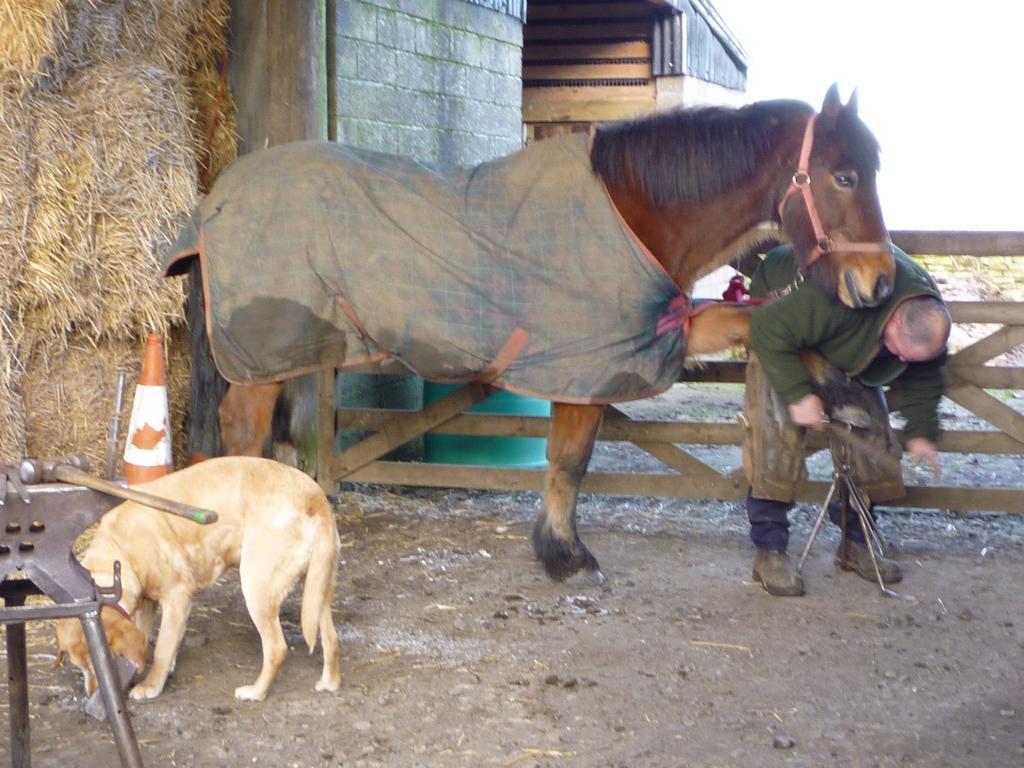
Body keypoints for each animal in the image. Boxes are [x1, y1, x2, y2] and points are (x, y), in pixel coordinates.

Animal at [54, 456, 342, 704]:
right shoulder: (148, 601)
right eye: (80, 668)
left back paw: (256, 692)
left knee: (277, 648)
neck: (120, 548)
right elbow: (150, 639)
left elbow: (162, 648)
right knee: (331, 637)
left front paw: (151, 685)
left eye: (99, 664)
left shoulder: (178, 596)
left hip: (257, 588)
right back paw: (329, 683)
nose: (92, 696)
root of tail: (314, 495)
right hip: (318, 589)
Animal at [163, 83, 892, 581]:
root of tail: (215, 201)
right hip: (264, 351)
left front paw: (852, 399)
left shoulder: (660, 331)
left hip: (288, 350)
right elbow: (570, 460)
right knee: (243, 428)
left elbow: (764, 324)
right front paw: (565, 553)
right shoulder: (589, 361)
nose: (879, 282)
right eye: (844, 174)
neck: (635, 213)